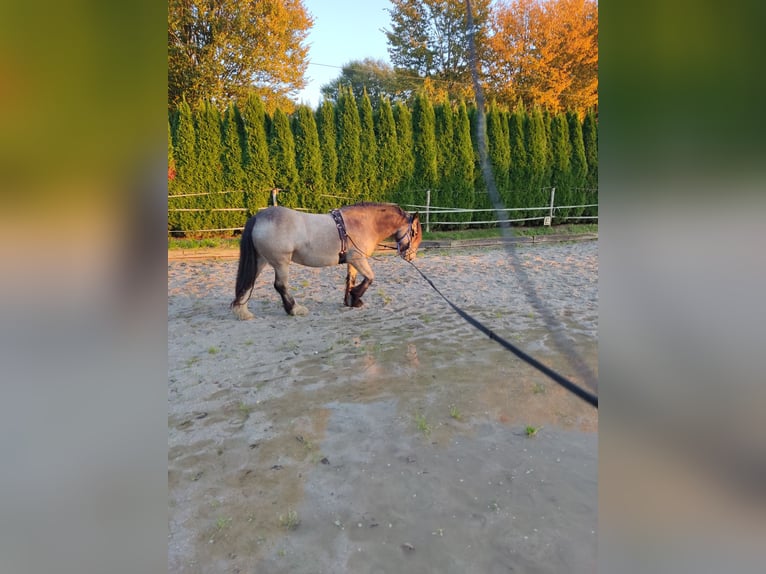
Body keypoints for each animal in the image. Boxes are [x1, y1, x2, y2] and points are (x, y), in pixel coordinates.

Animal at [232, 201, 426, 320]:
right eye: (415, 233)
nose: (411, 257)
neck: (363, 223)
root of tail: (259, 217)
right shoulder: (358, 259)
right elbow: (370, 278)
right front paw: (355, 296)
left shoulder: (352, 261)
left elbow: (351, 280)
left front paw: (351, 301)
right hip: (281, 263)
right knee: (280, 286)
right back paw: (295, 309)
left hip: (261, 260)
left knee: (248, 283)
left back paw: (242, 312)